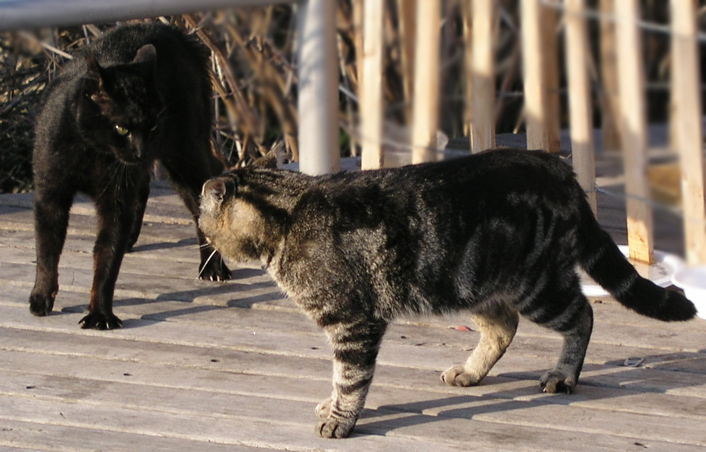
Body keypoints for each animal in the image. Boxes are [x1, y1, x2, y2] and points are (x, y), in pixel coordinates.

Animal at [30, 23, 230, 330]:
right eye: (121, 128)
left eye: (153, 126)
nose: (140, 149)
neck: (93, 153)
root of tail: (174, 32)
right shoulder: (50, 193)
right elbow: (46, 250)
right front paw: (41, 297)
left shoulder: (115, 202)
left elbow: (106, 259)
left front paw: (100, 315)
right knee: (144, 187)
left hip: (184, 155)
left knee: (204, 201)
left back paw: (212, 267)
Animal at [198, 148, 692, 438]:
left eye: (202, 219)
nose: (203, 237)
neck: (287, 216)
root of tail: (555, 164)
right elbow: (340, 379)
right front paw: (333, 404)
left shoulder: (354, 323)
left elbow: (350, 379)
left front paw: (341, 418)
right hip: (471, 284)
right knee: (504, 327)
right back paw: (471, 373)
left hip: (538, 286)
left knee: (583, 316)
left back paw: (563, 374)